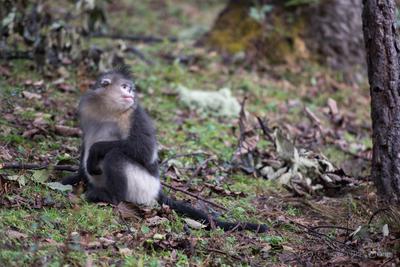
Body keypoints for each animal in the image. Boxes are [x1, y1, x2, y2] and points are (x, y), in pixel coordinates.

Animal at [61, 66, 268, 233]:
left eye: (130, 88)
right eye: (125, 87)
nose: (131, 93)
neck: (108, 110)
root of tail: (156, 191)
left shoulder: (133, 114)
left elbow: (143, 149)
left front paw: (95, 152)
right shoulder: (87, 108)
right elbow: (85, 142)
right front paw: (74, 177)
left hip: (142, 187)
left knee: (115, 156)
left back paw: (109, 196)